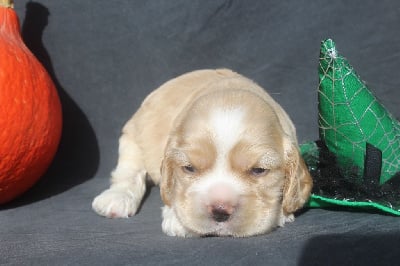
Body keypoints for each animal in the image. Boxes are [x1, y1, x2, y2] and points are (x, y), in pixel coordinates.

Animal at [91, 68, 312, 237]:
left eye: (258, 170)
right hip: (132, 138)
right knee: (128, 172)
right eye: (189, 168)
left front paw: (282, 214)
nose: (220, 210)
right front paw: (177, 220)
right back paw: (116, 198)